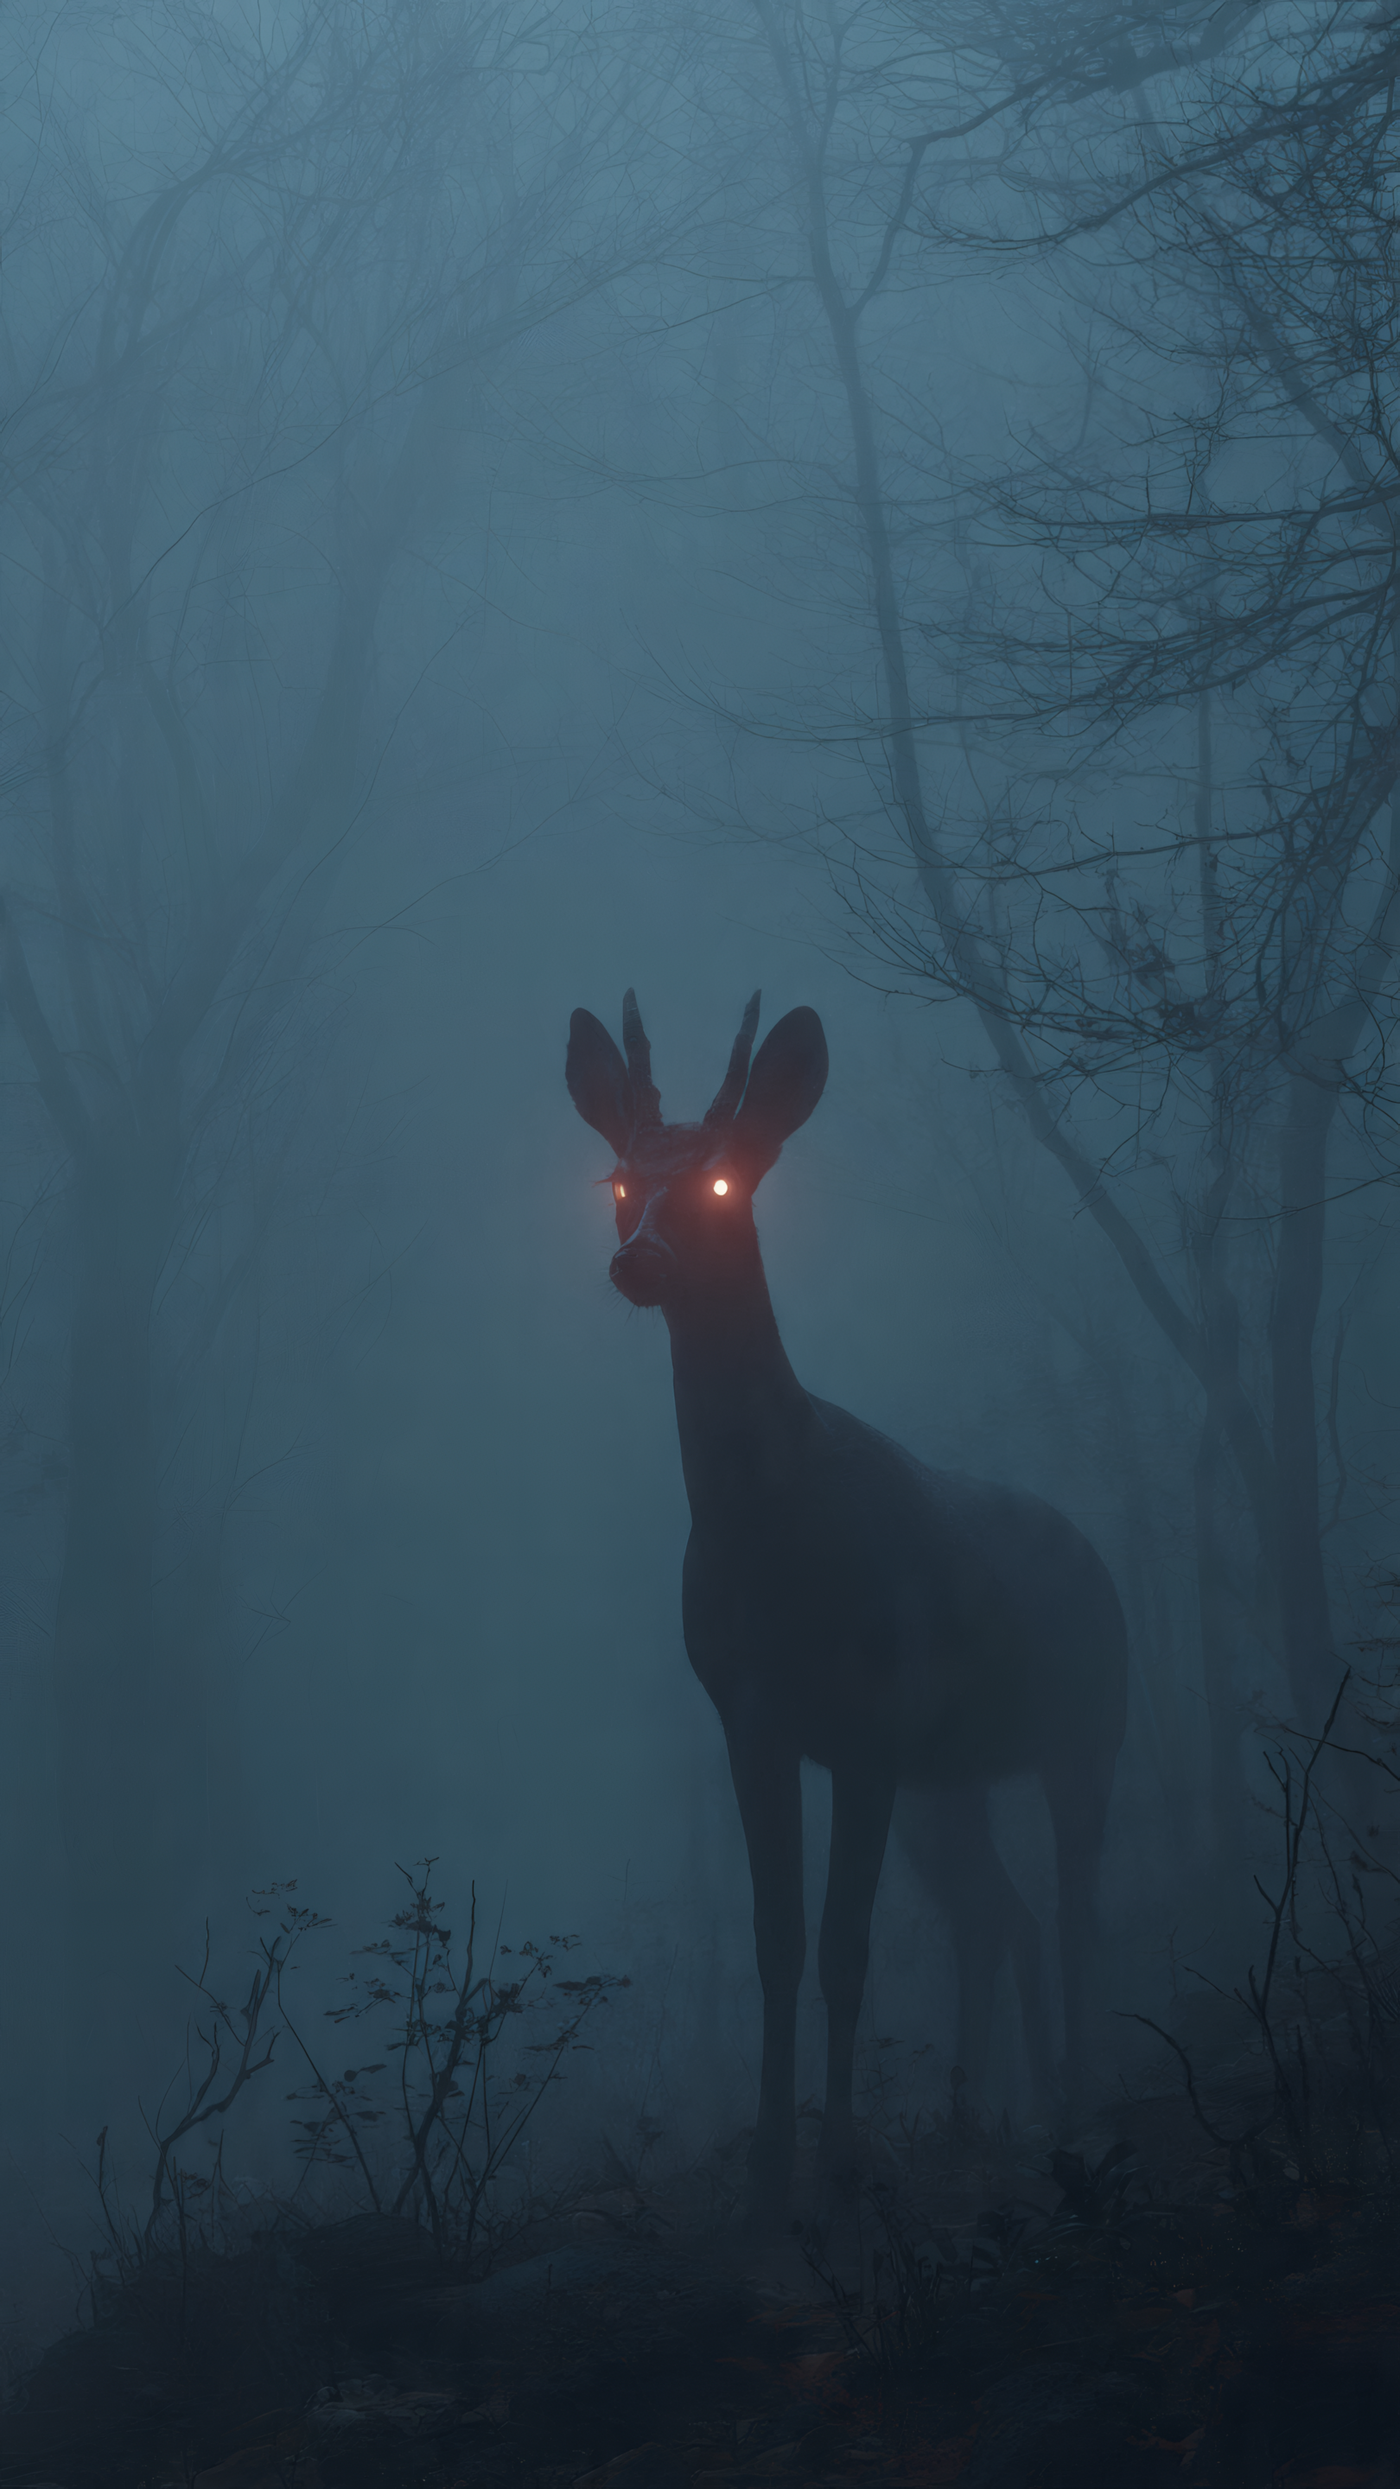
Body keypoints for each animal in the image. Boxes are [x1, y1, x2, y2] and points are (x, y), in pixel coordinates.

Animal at [566, 989, 1128, 2228]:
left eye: (723, 1181)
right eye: (620, 1179)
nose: (639, 1260)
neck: (772, 1536)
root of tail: (1096, 1556)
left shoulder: (872, 1716)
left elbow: (844, 1944)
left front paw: (835, 2159)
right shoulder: (752, 1715)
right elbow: (777, 1937)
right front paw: (770, 2163)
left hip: (1085, 1724)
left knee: (1073, 1895)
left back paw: (1074, 2101)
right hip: (951, 1779)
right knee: (997, 1909)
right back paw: (979, 2112)